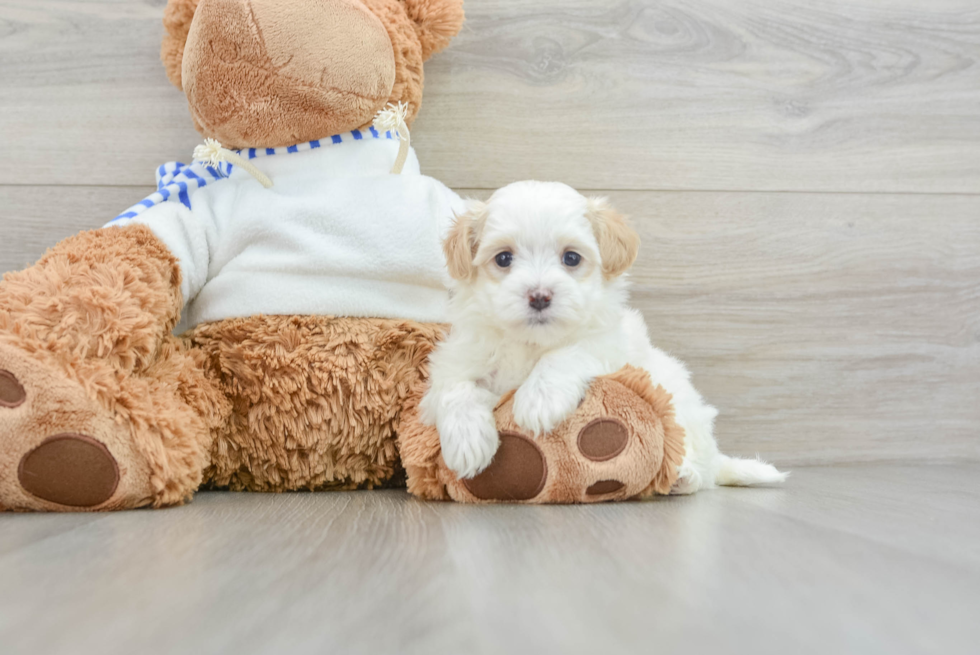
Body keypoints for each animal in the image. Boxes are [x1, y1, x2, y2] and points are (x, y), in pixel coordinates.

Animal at [418, 179, 784, 492]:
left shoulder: (610, 346)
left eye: (571, 258)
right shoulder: (455, 360)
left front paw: (539, 400)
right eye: (504, 258)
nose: (539, 296)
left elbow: (567, 353)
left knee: (699, 466)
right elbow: (455, 390)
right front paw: (467, 441)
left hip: (683, 410)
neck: (531, 344)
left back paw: (682, 475)